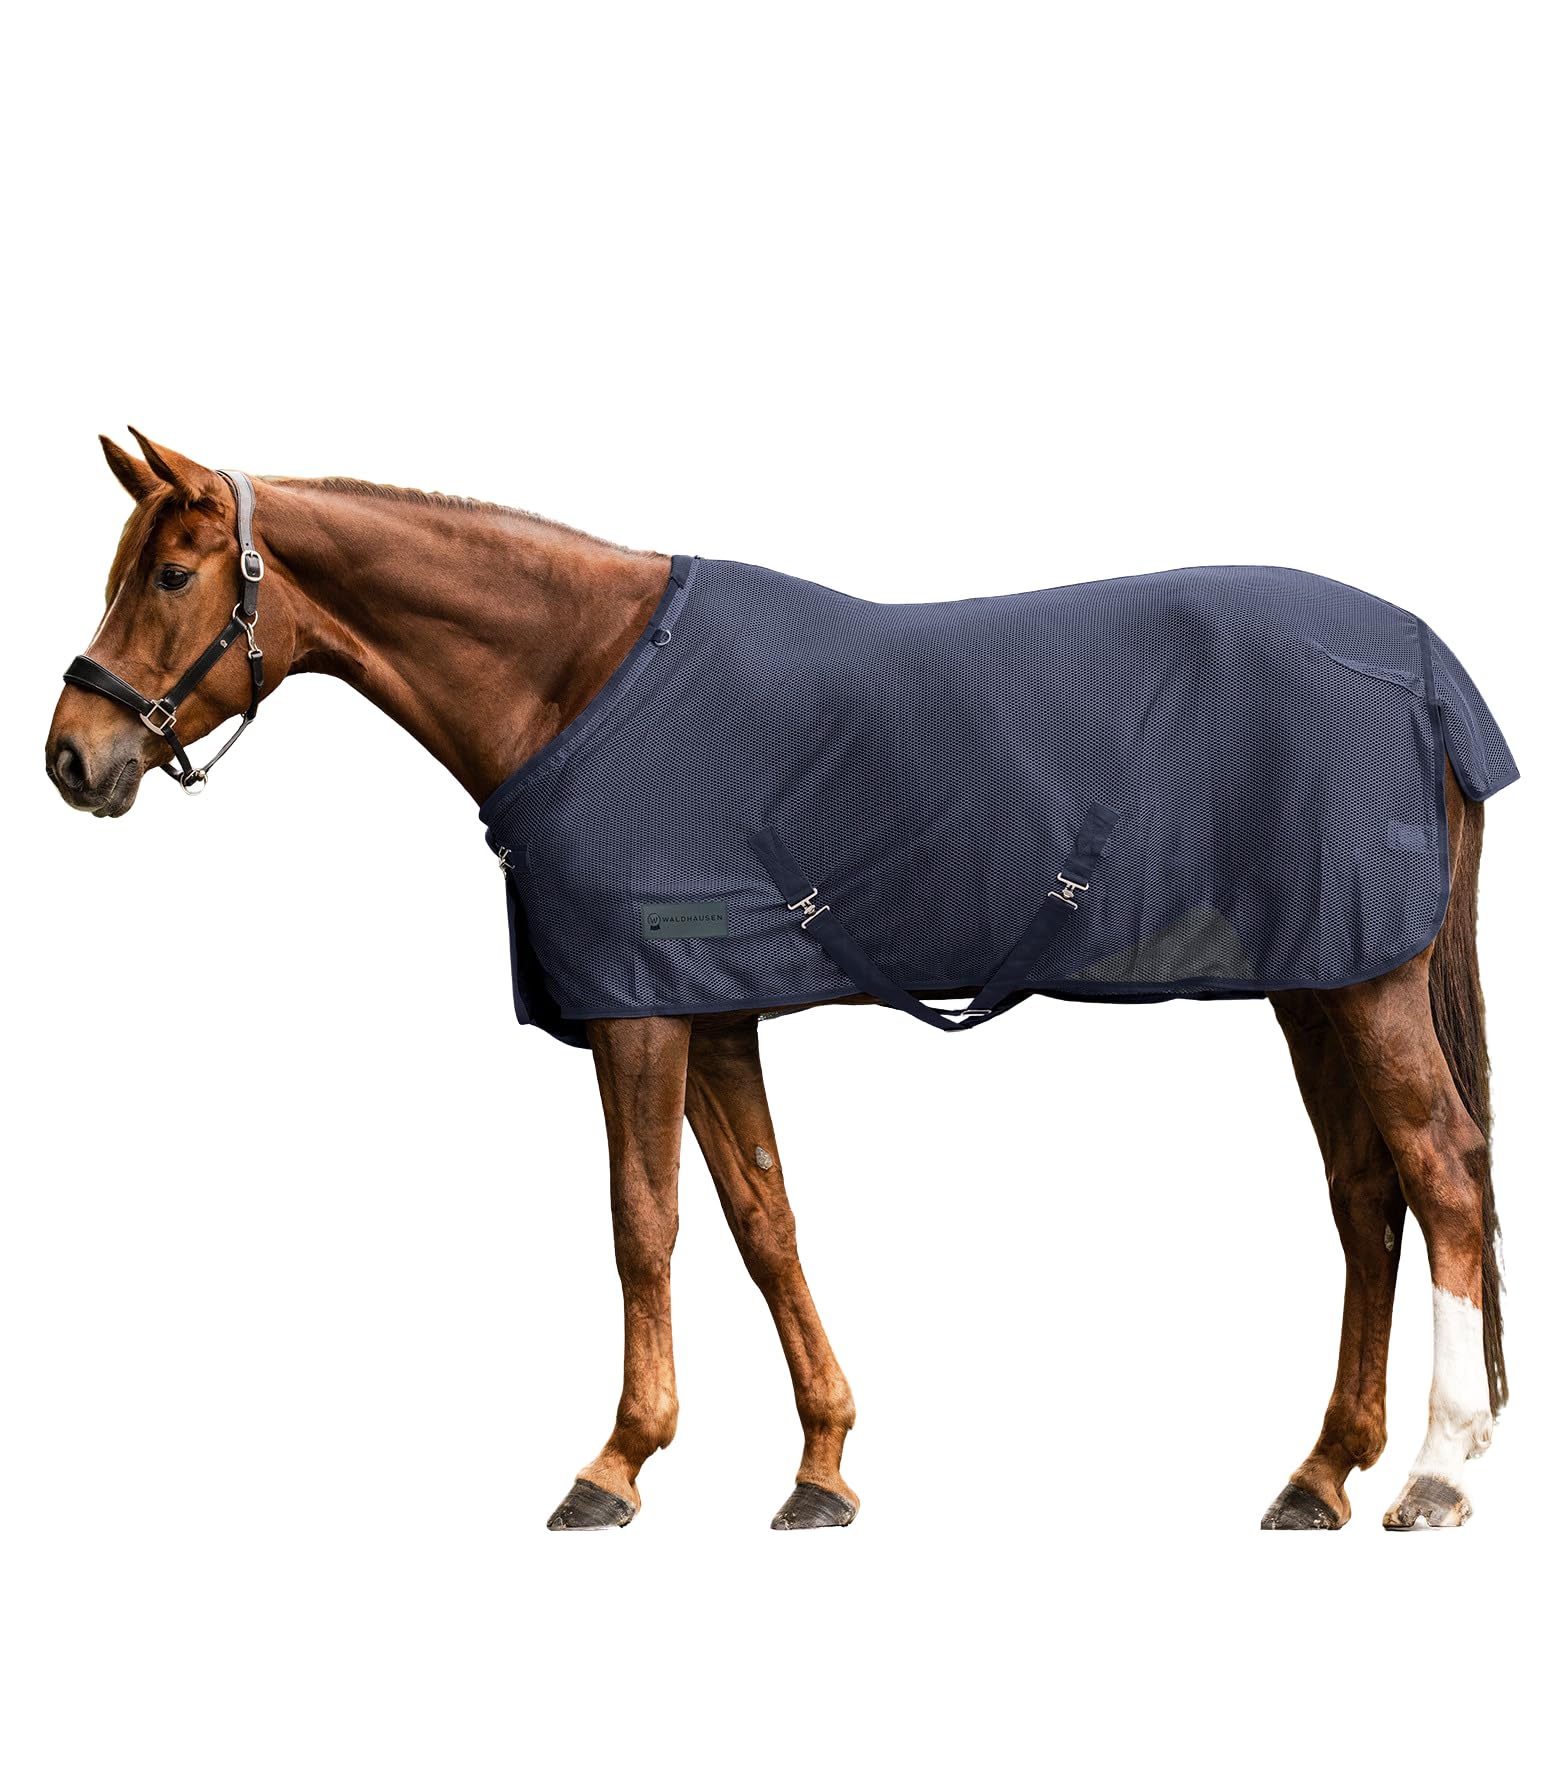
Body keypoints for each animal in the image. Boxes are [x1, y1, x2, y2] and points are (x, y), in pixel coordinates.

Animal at [46, 431, 1513, 1533]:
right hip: (1315, 982)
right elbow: (763, 1223)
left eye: (170, 572)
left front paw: (615, 1463)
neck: (583, 679)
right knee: (1366, 1195)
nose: (71, 755)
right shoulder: (713, 1016)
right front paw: (820, 1465)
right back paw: (1321, 1471)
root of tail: (1426, 667)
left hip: (1364, 984)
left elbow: (643, 1225)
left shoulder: (640, 1012)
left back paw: (1433, 1473)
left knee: (1439, 1172)